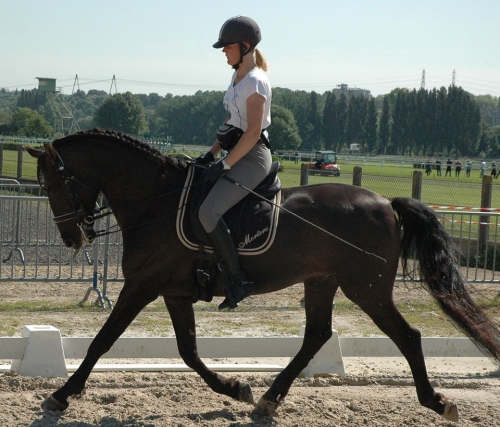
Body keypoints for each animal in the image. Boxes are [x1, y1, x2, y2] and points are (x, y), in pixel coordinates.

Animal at [24, 130, 500, 422]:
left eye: (53, 184)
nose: (72, 237)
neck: (156, 201)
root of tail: (385, 201)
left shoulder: (142, 286)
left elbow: (102, 341)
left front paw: (61, 395)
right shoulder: (173, 293)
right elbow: (188, 351)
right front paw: (236, 388)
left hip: (366, 289)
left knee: (407, 336)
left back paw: (436, 402)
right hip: (322, 281)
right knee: (317, 335)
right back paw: (269, 399)